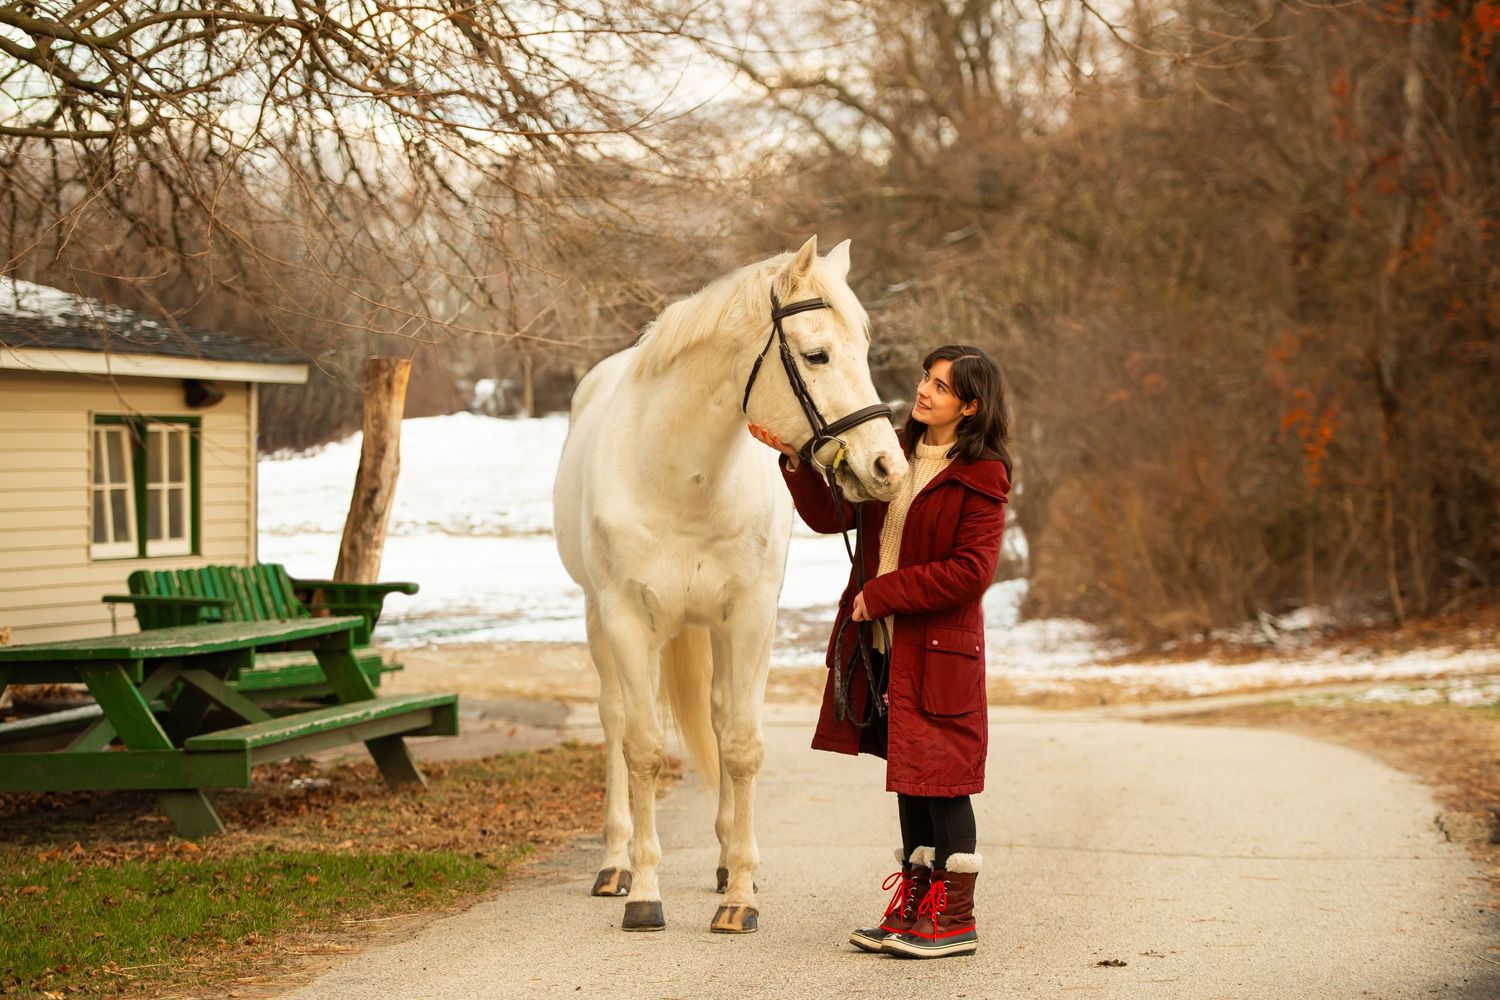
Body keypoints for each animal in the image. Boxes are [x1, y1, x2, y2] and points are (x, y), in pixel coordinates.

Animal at [553, 236, 907, 934]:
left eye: (864, 346)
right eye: (817, 354)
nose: (886, 466)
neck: (680, 477)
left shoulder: (748, 618)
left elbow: (740, 746)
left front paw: (740, 893)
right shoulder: (627, 619)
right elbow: (641, 748)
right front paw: (644, 895)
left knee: (718, 721)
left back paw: (720, 865)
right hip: (599, 621)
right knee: (614, 719)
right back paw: (615, 863)